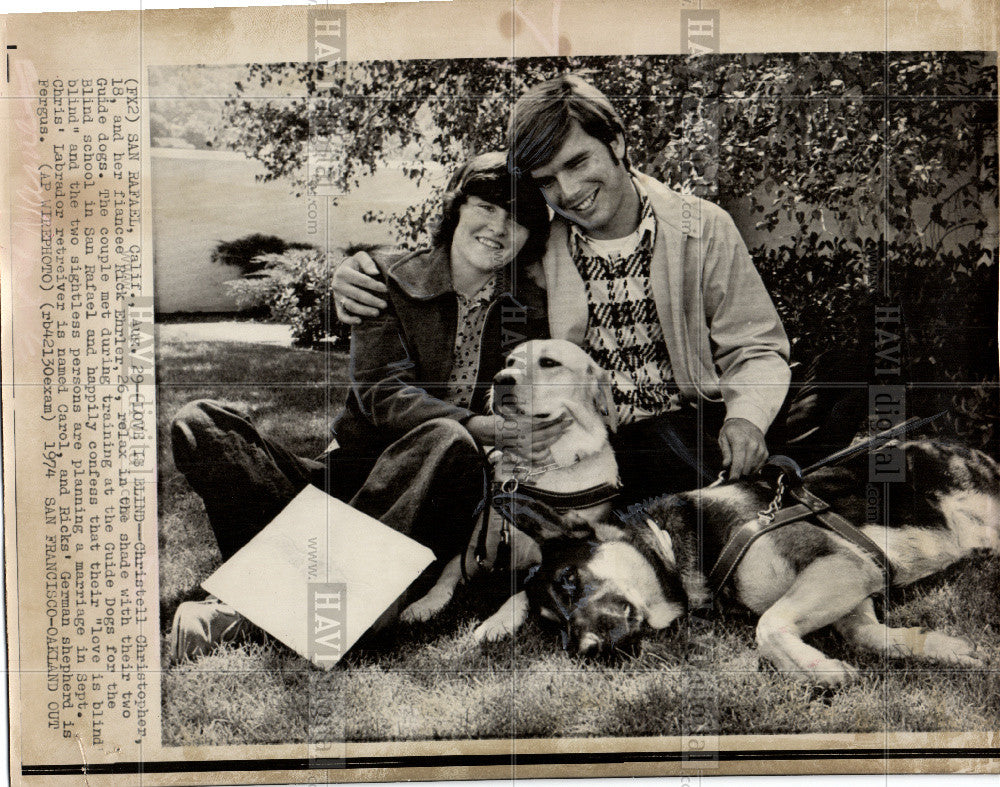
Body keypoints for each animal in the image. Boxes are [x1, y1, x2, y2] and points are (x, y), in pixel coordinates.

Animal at [512, 440, 996, 688]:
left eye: (569, 580)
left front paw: (817, 670)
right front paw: (941, 648)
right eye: (552, 626)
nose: (584, 652)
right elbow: (871, 637)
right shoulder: (856, 583)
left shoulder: (841, 566)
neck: (671, 546)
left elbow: (768, 627)